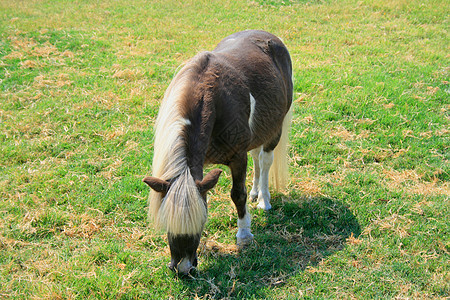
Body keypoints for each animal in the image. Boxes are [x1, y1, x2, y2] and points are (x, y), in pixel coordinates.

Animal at [142, 29, 294, 274]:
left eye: (201, 221)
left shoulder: (238, 157)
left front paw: (244, 234)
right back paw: (256, 192)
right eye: (167, 222)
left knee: (265, 160)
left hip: (275, 130)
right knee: (257, 158)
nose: (182, 269)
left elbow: (237, 194)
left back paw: (263, 199)